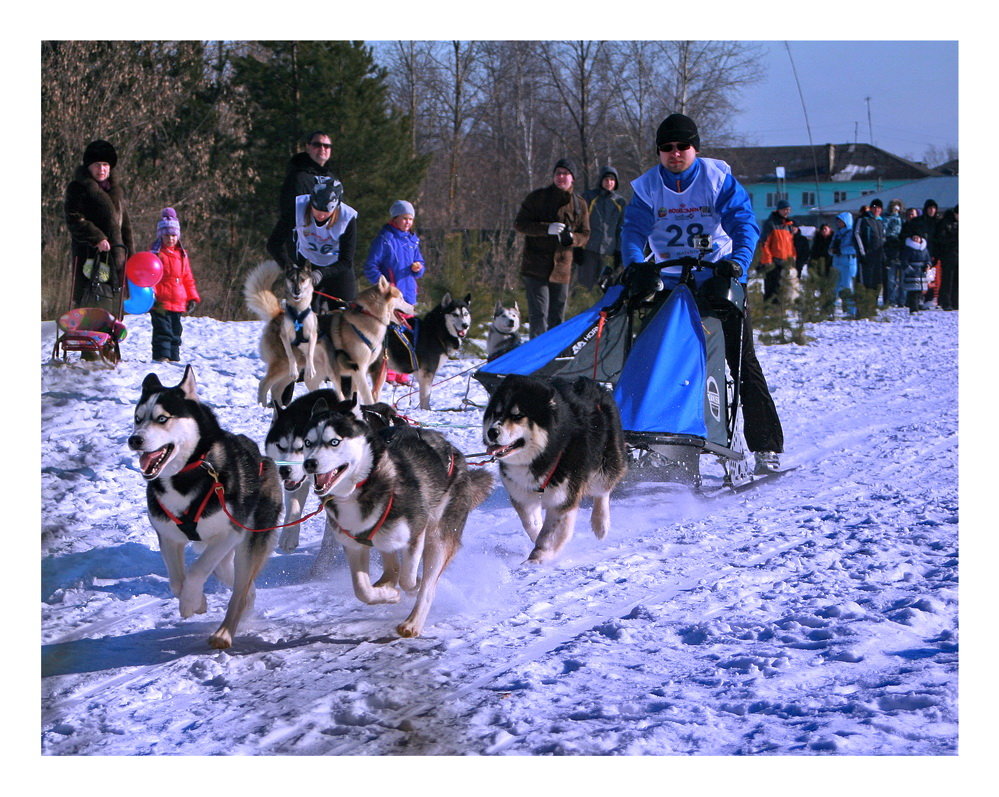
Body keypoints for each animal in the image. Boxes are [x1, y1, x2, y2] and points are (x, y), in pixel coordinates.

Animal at [127, 366, 282, 648]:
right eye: (137, 418)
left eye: (162, 418)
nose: (134, 440)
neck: (184, 477)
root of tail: (264, 458)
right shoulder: (168, 537)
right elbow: (177, 581)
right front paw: (197, 601)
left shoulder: (230, 532)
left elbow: (197, 571)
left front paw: (190, 602)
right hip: (226, 553)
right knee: (238, 581)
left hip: (248, 541)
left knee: (239, 589)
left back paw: (224, 633)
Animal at [302, 402, 494, 636]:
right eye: (308, 442)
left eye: (334, 442)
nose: (309, 463)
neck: (363, 486)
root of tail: (453, 450)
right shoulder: (354, 545)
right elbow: (362, 590)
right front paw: (387, 593)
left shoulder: (416, 533)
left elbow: (409, 580)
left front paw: (405, 588)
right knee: (390, 560)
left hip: (438, 537)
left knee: (427, 584)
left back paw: (413, 622)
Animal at [482, 374, 624, 564]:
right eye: (496, 413)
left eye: (518, 415)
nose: (492, 432)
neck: (543, 454)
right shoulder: (522, 494)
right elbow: (531, 524)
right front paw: (536, 538)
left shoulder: (562, 499)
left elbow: (548, 536)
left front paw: (534, 561)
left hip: (605, 462)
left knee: (602, 491)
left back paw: (600, 524)